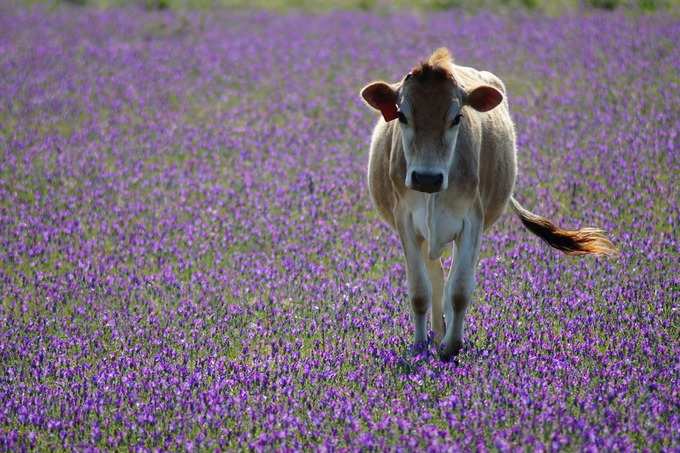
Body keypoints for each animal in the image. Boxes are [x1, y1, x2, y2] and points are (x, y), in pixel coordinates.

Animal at [362, 47, 616, 360]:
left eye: (457, 117)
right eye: (401, 115)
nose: (427, 178)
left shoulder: (472, 220)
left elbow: (459, 289)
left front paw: (451, 346)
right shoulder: (405, 221)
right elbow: (420, 290)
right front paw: (421, 346)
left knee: (449, 281)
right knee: (435, 279)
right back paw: (435, 333)